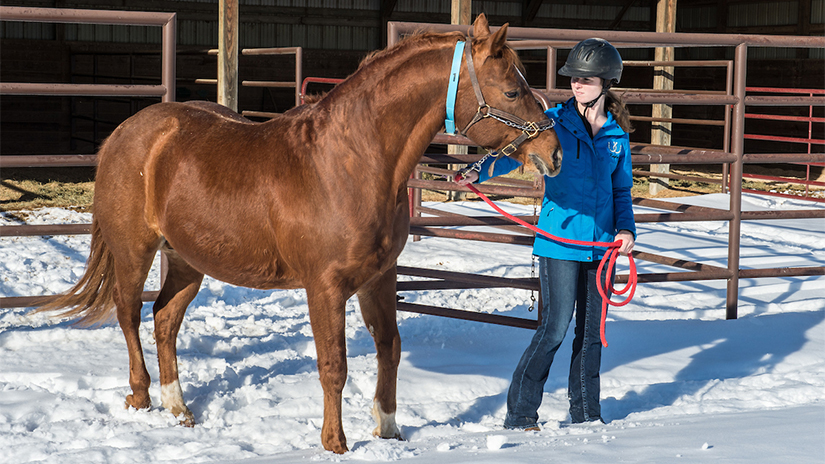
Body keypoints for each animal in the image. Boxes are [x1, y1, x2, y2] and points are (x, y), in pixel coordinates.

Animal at [37, 15, 560, 456]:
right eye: (512, 91)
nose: (553, 153)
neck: (351, 161)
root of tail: (127, 132)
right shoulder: (324, 287)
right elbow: (334, 365)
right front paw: (335, 444)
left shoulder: (380, 277)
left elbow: (389, 347)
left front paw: (389, 430)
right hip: (135, 251)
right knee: (128, 315)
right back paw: (141, 397)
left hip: (188, 259)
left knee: (164, 319)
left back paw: (179, 407)